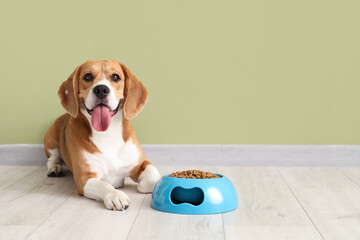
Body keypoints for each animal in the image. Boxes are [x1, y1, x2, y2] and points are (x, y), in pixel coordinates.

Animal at [43, 60, 160, 210]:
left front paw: (143, 186)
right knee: (52, 159)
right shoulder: (84, 178)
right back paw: (55, 168)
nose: (101, 89)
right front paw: (116, 195)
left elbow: (152, 175)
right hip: (51, 142)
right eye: (87, 76)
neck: (108, 133)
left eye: (115, 77)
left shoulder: (139, 163)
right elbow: (104, 185)